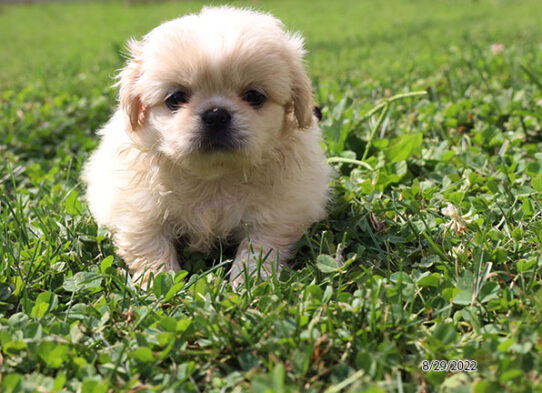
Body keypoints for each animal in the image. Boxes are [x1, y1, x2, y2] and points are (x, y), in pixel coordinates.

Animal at [83, 6, 332, 284]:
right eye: (175, 98)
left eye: (255, 96)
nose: (216, 114)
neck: (214, 178)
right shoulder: (139, 212)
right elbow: (151, 247)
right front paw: (159, 279)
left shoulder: (277, 215)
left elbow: (259, 249)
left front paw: (248, 281)